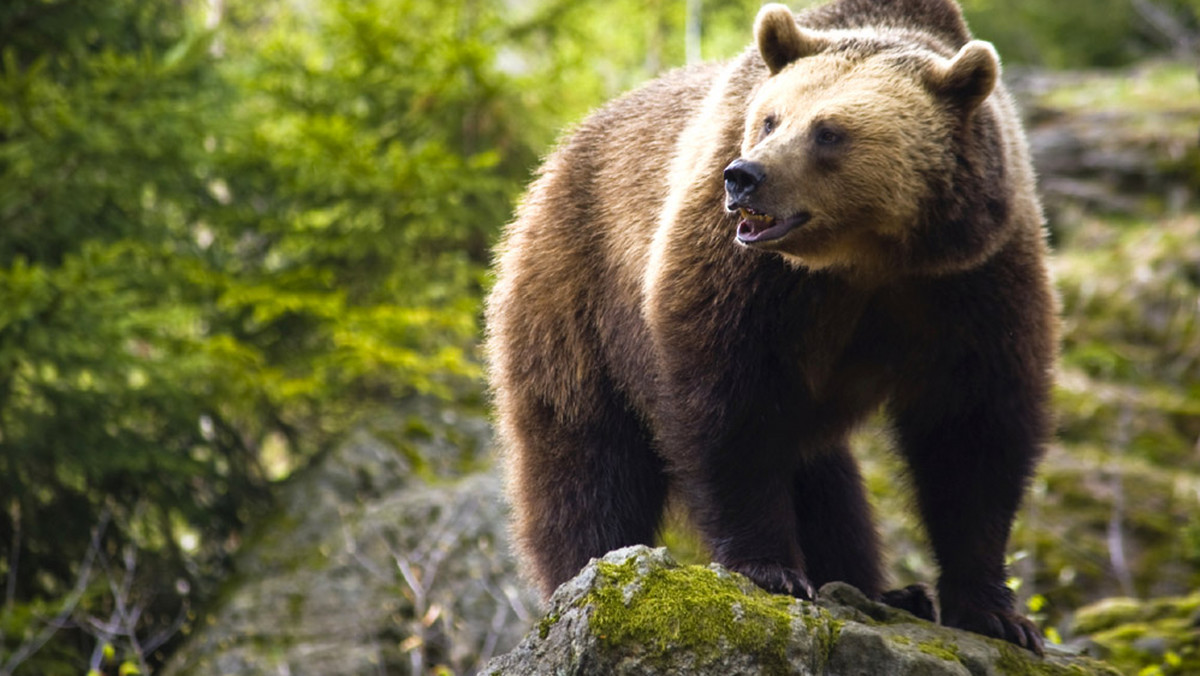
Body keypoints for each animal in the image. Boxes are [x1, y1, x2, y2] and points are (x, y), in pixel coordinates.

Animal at [482, 0, 1056, 657]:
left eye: (829, 131)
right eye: (768, 119)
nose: (743, 177)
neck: (864, 257)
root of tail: (558, 156)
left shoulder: (970, 279)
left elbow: (973, 428)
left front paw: (994, 612)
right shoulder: (744, 276)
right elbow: (728, 409)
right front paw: (770, 569)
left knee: (827, 480)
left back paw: (884, 590)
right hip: (575, 288)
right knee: (584, 453)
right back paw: (585, 567)